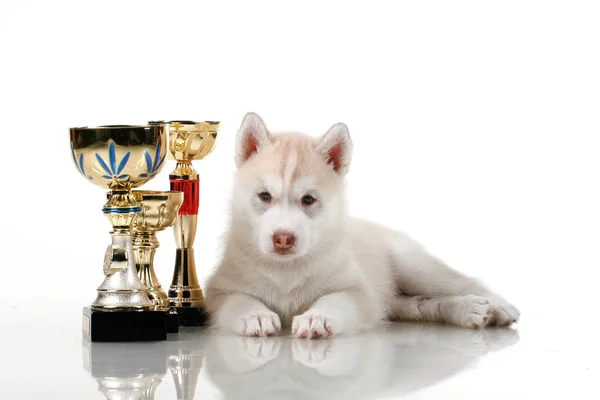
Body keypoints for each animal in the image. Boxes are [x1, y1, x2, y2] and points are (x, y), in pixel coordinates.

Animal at [204, 112, 516, 338]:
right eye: (265, 196)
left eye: (308, 199)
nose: (283, 238)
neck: (286, 271)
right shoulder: (219, 290)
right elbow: (238, 300)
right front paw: (254, 314)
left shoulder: (357, 290)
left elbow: (333, 300)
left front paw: (317, 317)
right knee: (417, 304)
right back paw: (466, 310)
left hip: (416, 266)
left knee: (463, 282)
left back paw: (495, 306)